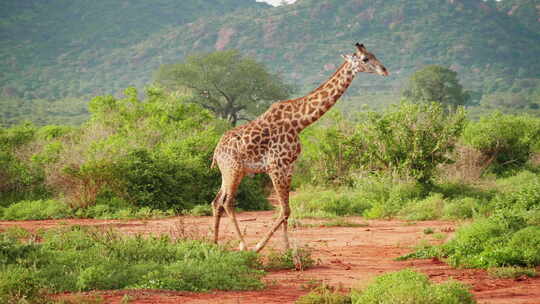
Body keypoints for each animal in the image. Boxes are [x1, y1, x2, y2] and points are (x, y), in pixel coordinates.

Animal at [210, 42, 388, 252]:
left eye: (374, 54)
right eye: (365, 59)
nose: (384, 70)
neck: (299, 123)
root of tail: (216, 152)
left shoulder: (289, 166)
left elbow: (285, 210)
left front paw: (287, 249)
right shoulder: (275, 166)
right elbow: (285, 209)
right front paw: (260, 246)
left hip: (230, 171)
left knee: (216, 201)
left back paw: (214, 244)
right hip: (234, 170)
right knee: (227, 202)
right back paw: (244, 245)